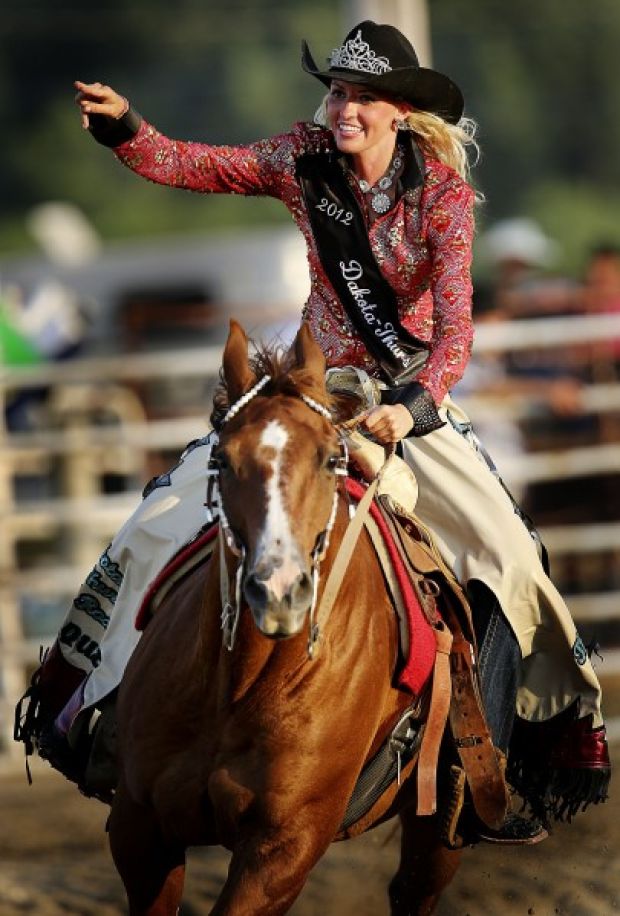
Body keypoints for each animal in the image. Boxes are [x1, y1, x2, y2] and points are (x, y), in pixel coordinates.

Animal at [109, 320, 462, 908]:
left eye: (329, 460)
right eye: (222, 460)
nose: (277, 589)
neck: (235, 685)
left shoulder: (284, 848)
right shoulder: (139, 828)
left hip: (440, 829)